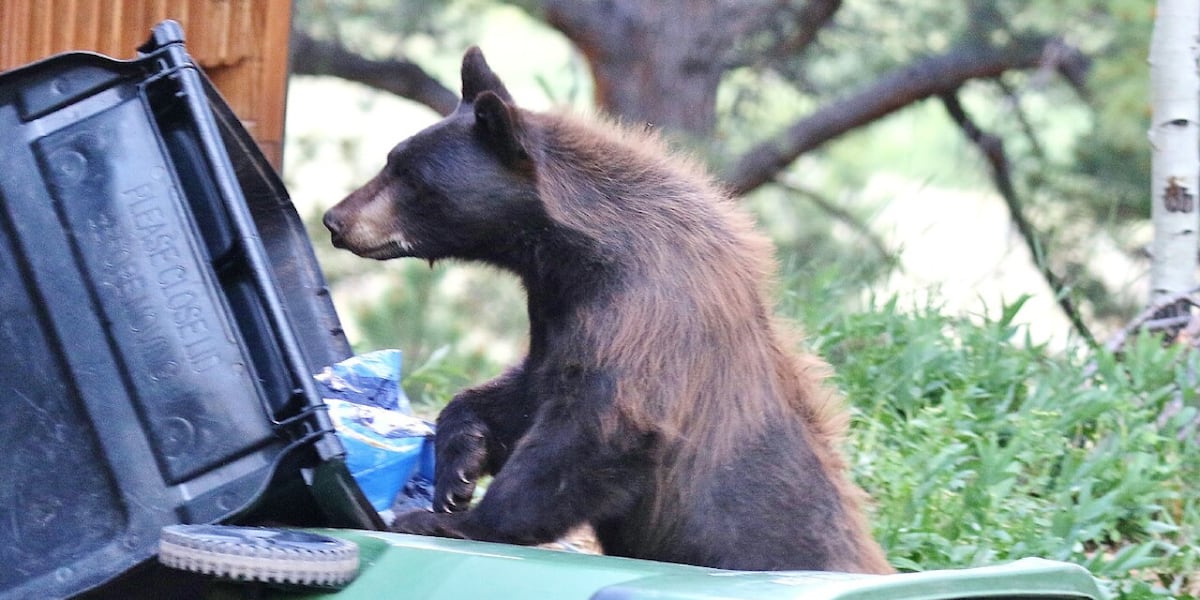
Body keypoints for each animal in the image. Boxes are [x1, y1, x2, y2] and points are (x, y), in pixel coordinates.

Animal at [322, 46, 892, 573]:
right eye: (392, 159)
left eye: (410, 176)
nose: (334, 219)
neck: (576, 253)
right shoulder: (556, 311)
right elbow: (528, 390)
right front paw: (458, 468)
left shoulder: (641, 312)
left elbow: (595, 429)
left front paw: (453, 520)